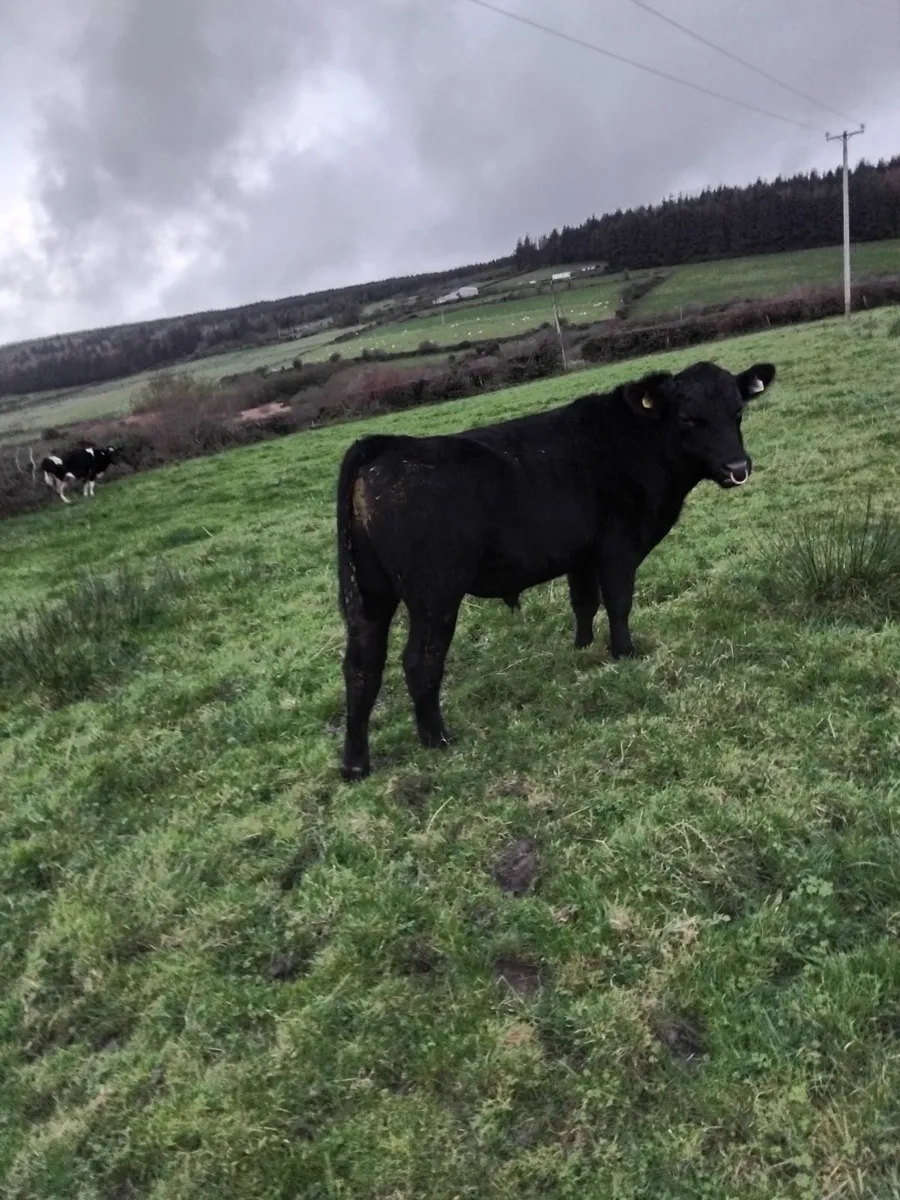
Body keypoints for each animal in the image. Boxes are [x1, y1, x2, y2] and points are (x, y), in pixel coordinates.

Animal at [335, 358, 776, 780]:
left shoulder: (580, 556)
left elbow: (584, 603)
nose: (737, 467)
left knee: (361, 667)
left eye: (737, 411)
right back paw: (437, 739)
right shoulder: (617, 548)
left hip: (370, 595)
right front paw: (624, 653)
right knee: (419, 660)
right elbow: (618, 602)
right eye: (688, 418)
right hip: (435, 593)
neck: (635, 443)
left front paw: (582, 649)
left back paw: (356, 765)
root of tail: (387, 446)